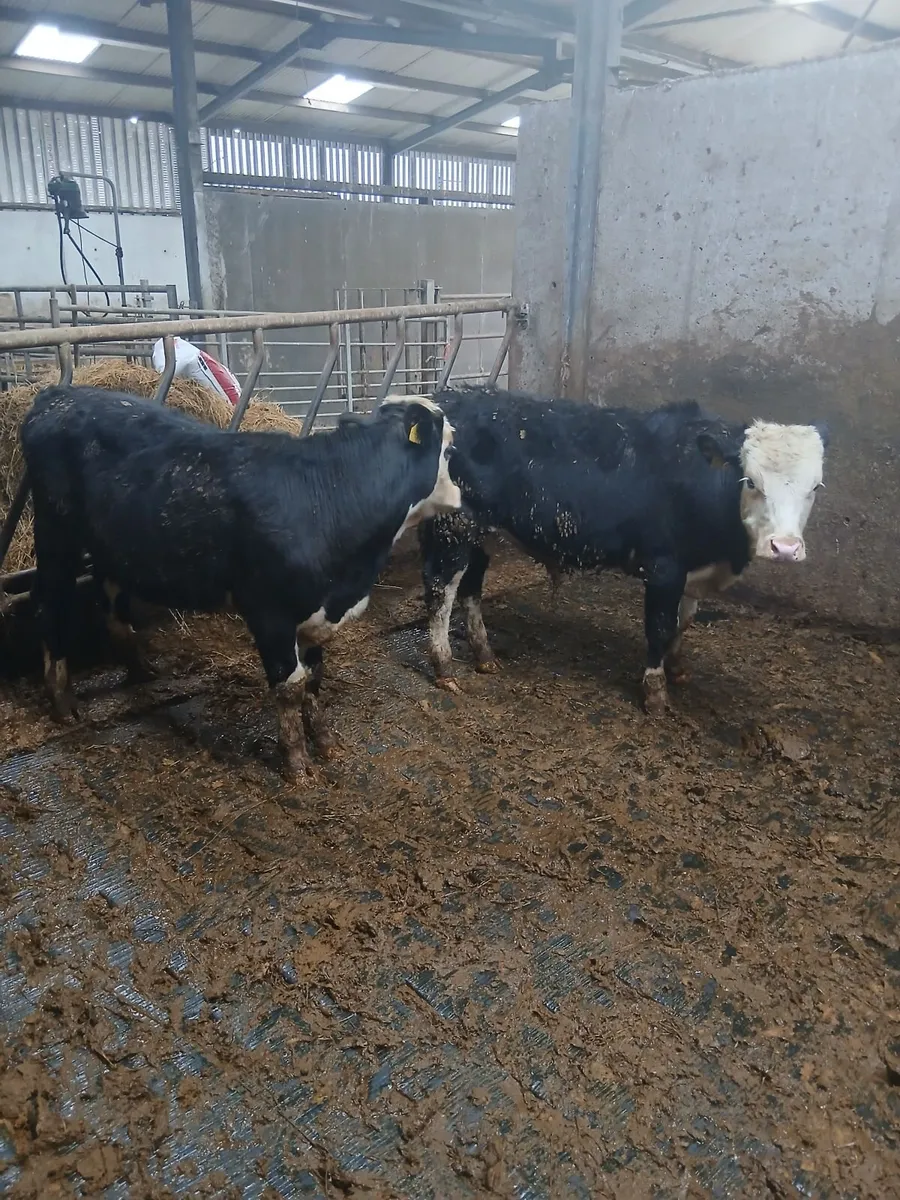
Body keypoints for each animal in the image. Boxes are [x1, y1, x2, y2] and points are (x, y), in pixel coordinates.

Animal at [21, 386, 461, 782]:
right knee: (49, 602)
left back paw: (139, 667)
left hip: (111, 542)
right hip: (56, 533)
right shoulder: (269, 613)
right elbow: (290, 686)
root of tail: (60, 394)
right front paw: (297, 764)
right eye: (450, 449)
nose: (461, 494)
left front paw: (325, 742)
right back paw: (62, 699)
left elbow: (315, 678)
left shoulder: (317, 614)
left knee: (110, 594)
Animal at [419, 387, 828, 713]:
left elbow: (685, 620)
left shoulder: (692, 568)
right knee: (441, 593)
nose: (785, 548)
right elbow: (660, 626)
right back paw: (444, 667)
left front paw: (677, 667)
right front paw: (656, 693)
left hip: (481, 533)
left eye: (815, 487)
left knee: (471, 590)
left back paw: (484, 655)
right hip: (452, 529)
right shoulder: (664, 568)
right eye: (751, 481)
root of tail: (448, 398)